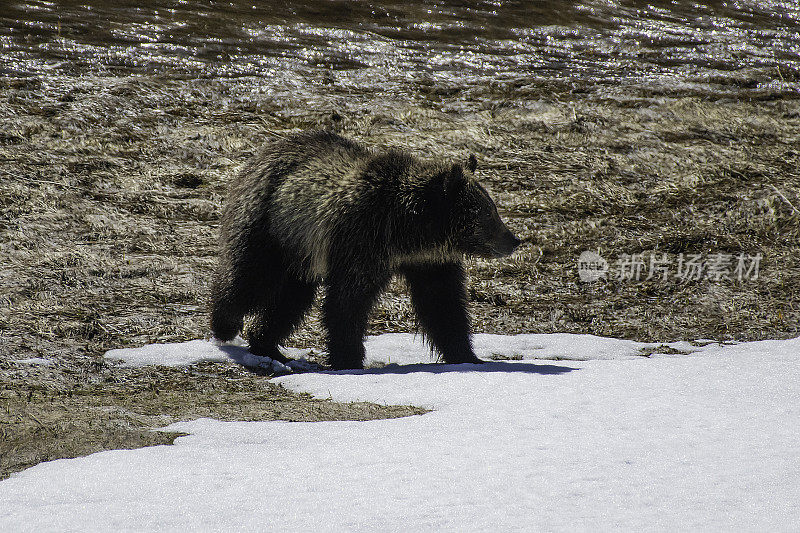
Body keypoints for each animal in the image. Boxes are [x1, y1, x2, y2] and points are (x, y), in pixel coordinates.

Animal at [209, 131, 520, 368]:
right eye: (488, 212)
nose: (514, 239)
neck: (409, 233)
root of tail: (262, 153)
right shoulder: (362, 241)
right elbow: (348, 302)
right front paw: (349, 359)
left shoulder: (430, 261)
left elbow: (443, 304)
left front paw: (468, 356)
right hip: (270, 227)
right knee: (249, 277)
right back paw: (224, 324)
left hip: (300, 253)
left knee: (291, 299)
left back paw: (267, 344)